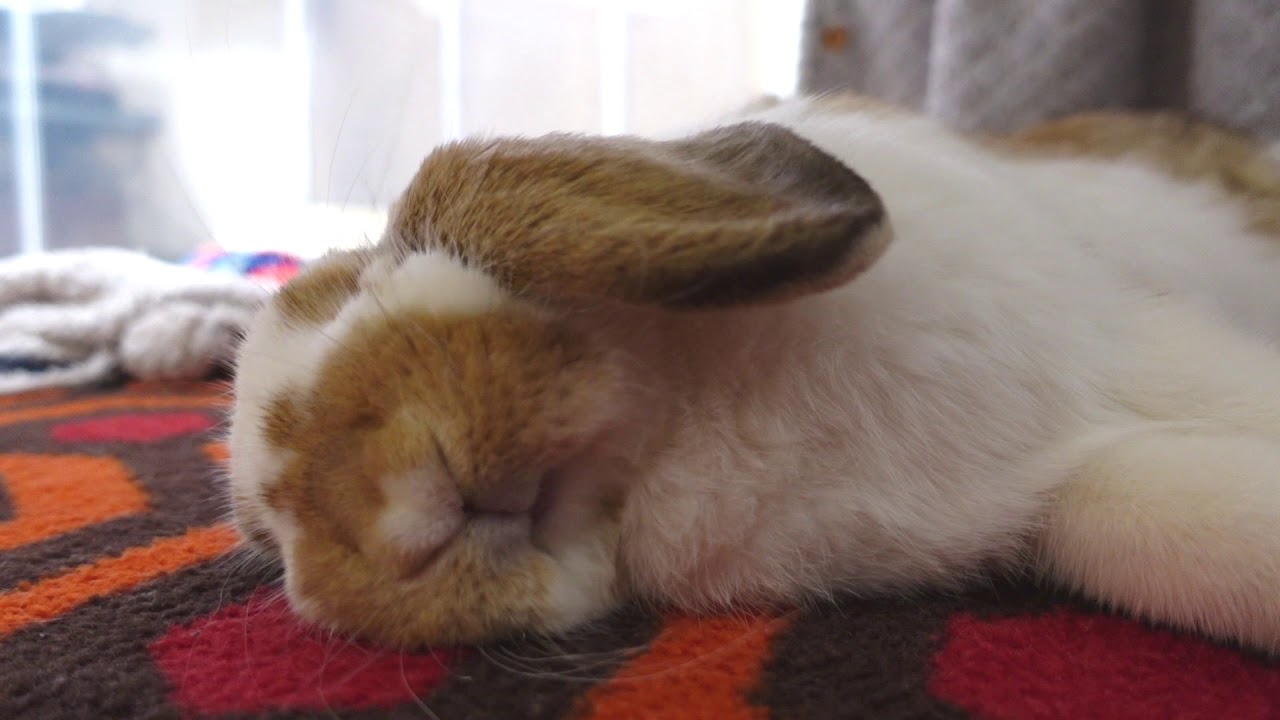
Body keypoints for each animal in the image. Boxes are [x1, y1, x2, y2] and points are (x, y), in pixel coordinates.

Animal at [226, 94, 1280, 653]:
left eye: (363, 280)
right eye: (271, 536)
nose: (395, 510)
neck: (676, 425)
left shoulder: (1118, 340)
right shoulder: (1071, 491)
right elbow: (1165, 520)